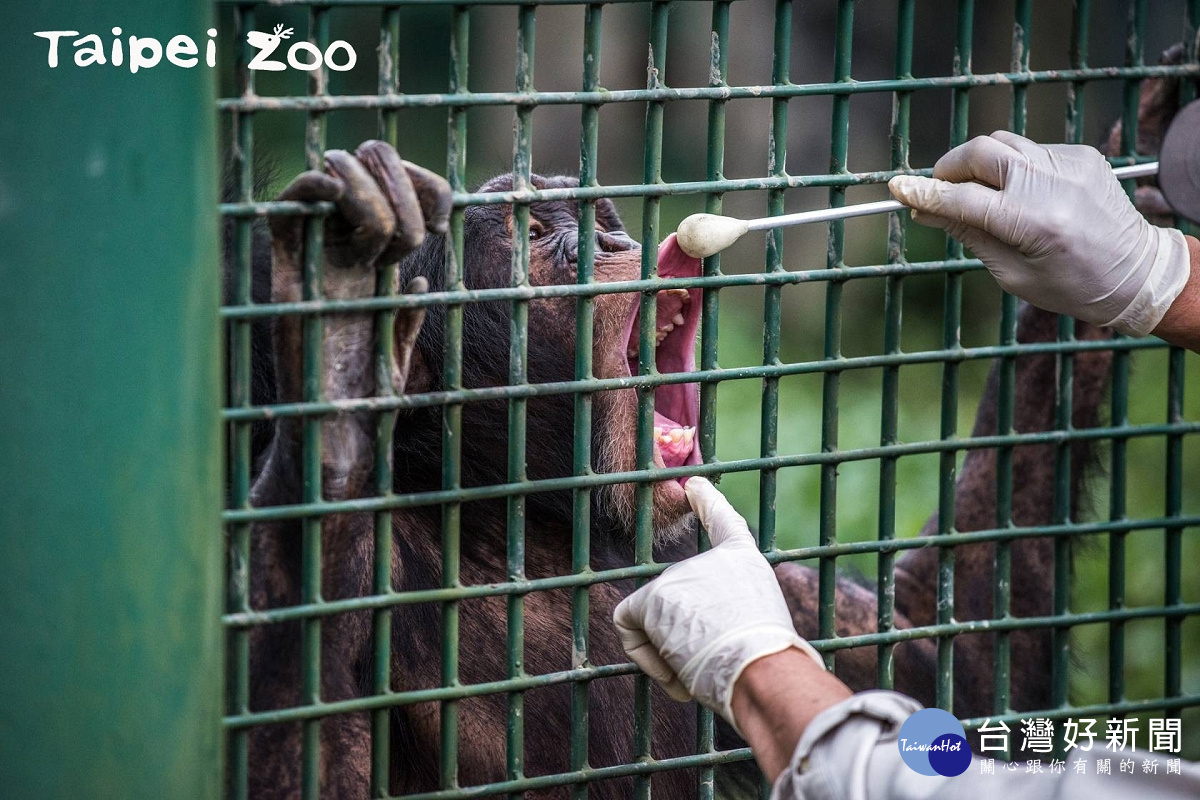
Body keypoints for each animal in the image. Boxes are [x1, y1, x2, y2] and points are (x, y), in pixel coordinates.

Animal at [231, 53, 1180, 796]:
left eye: (600, 219)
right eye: (535, 236)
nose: (611, 243)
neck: (540, 530)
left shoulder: (735, 556)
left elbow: (943, 657)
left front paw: (1121, 176)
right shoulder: (384, 569)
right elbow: (307, 758)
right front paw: (342, 326)